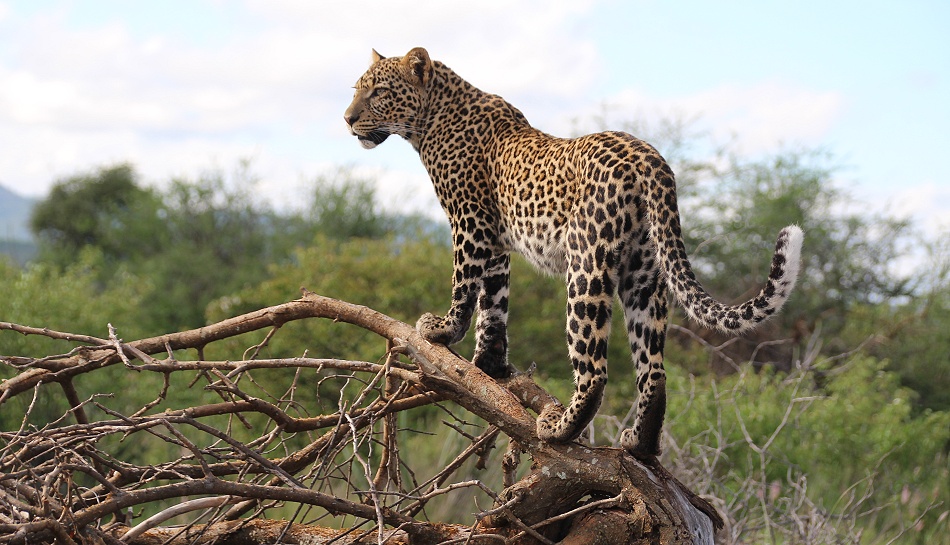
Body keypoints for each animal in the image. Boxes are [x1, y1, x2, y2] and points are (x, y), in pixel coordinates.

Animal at [344, 47, 803, 458]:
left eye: (378, 91)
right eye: (357, 89)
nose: (348, 119)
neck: (430, 120)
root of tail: (649, 157)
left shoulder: (470, 224)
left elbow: (464, 285)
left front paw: (441, 330)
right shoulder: (497, 242)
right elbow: (494, 302)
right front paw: (489, 365)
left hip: (586, 265)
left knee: (595, 369)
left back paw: (559, 427)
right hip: (644, 271)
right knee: (653, 368)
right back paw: (640, 443)